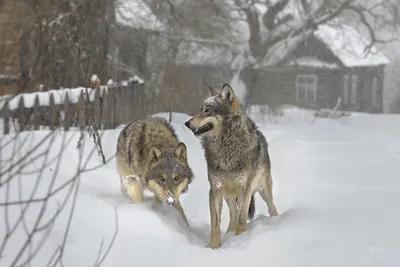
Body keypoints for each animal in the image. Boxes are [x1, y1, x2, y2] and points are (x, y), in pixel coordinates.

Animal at [184, 84, 278, 249]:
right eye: (201, 109)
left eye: (207, 110)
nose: (187, 123)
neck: (226, 146)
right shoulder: (215, 190)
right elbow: (215, 223)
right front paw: (214, 247)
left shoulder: (245, 191)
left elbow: (242, 220)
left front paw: (239, 242)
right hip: (228, 195)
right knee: (233, 214)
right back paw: (228, 234)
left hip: (263, 191)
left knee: (271, 208)